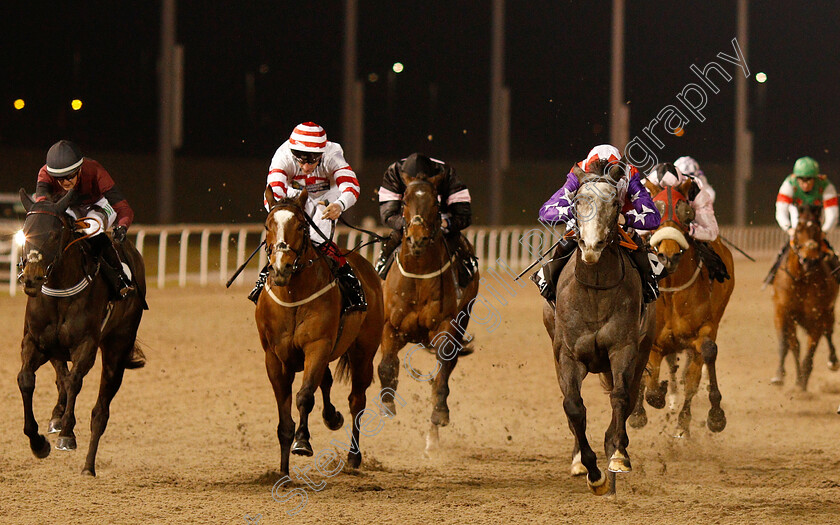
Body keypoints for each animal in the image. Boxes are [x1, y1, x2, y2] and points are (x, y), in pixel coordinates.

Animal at [16, 187, 146, 474]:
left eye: (54, 234)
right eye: (25, 231)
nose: (31, 278)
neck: (59, 289)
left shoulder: (86, 345)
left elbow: (75, 381)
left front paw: (67, 434)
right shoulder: (36, 342)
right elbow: (27, 379)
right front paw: (38, 442)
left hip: (117, 346)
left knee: (100, 411)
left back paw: (88, 465)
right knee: (61, 378)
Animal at [258, 186, 386, 472]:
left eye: (301, 226)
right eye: (268, 225)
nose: (281, 268)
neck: (294, 296)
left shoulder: (317, 346)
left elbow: (305, 396)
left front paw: (302, 442)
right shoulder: (274, 356)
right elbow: (284, 421)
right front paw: (283, 473)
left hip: (363, 351)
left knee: (356, 399)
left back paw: (353, 455)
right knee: (326, 380)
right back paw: (332, 417)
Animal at [540, 161, 652, 496]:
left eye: (615, 203)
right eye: (577, 202)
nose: (591, 246)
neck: (595, 291)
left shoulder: (624, 348)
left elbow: (621, 397)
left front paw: (617, 456)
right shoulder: (566, 354)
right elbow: (573, 406)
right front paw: (591, 470)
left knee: (630, 394)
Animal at [632, 182, 736, 436]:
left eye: (686, 213)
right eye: (656, 210)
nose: (668, 255)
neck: (671, 290)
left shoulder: (703, 329)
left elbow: (703, 358)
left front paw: (714, 416)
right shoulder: (655, 340)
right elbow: (650, 382)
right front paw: (647, 404)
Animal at [772, 204, 836, 388]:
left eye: (818, 229)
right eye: (798, 229)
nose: (810, 260)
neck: (802, 279)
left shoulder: (818, 316)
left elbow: (811, 350)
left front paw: (802, 384)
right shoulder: (783, 311)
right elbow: (789, 344)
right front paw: (781, 376)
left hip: (829, 312)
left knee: (829, 333)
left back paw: (833, 361)